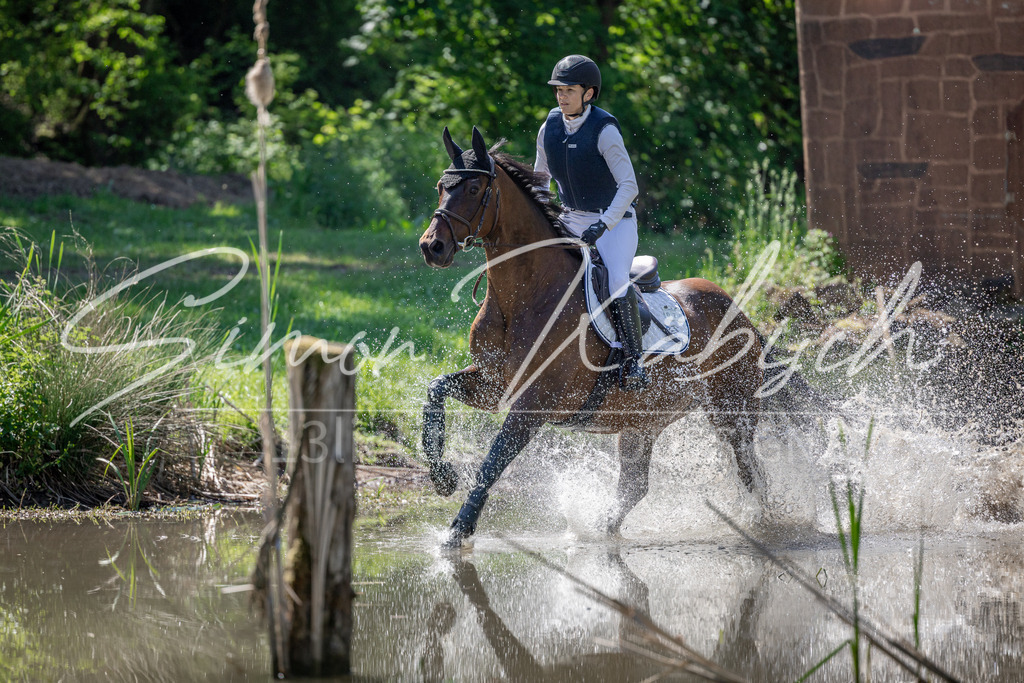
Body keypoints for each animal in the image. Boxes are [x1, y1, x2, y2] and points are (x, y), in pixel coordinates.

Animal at [419, 126, 767, 549]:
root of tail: (738, 310)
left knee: (750, 472)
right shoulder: (494, 386)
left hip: (731, 412)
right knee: (635, 486)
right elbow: (436, 391)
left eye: (472, 190)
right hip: (642, 422)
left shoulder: (534, 403)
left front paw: (459, 529)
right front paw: (443, 477)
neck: (524, 295)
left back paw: (765, 523)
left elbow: (494, 460)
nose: (432, 247)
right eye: (441, 187)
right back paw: (599, 530)